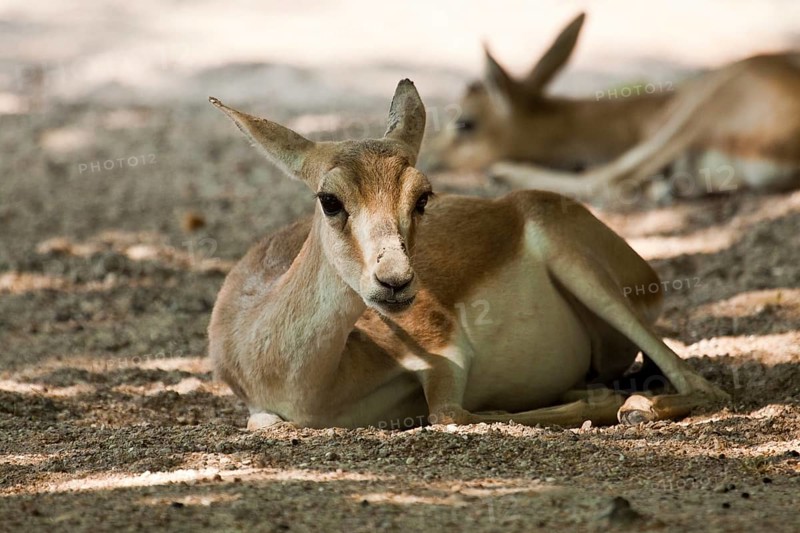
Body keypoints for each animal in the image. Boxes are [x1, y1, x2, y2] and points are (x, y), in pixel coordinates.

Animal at [207, 80, 728, 431]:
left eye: (422, 197)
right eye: (329, 199)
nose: (395, 282)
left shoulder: (444, 353)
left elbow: (447, 413)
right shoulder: (263, 412)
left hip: (579, 263)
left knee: (704, 386)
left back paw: (635, 407)